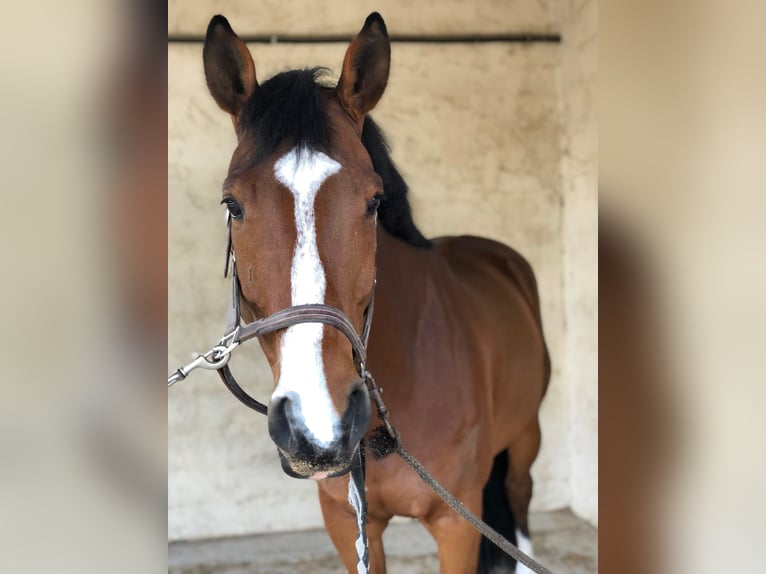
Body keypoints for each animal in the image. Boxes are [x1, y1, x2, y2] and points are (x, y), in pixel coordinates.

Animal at [201, 12, 550, 574]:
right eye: (232, 204)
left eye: (374, 201)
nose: (317, 426)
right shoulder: (349, 523)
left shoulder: (457, 523)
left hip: (525, 436)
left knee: (519, 498)